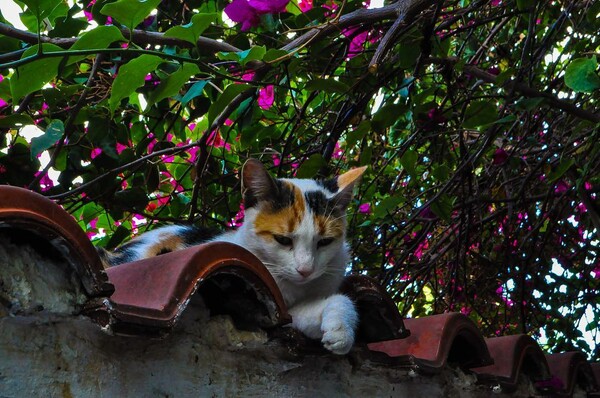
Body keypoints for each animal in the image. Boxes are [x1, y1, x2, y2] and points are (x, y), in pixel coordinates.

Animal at [99, 159, 366, 354]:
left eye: (324, 242)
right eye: (283, 240)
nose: (305, 270)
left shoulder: (285, 310)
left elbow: (330, 303)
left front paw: (340, 331)